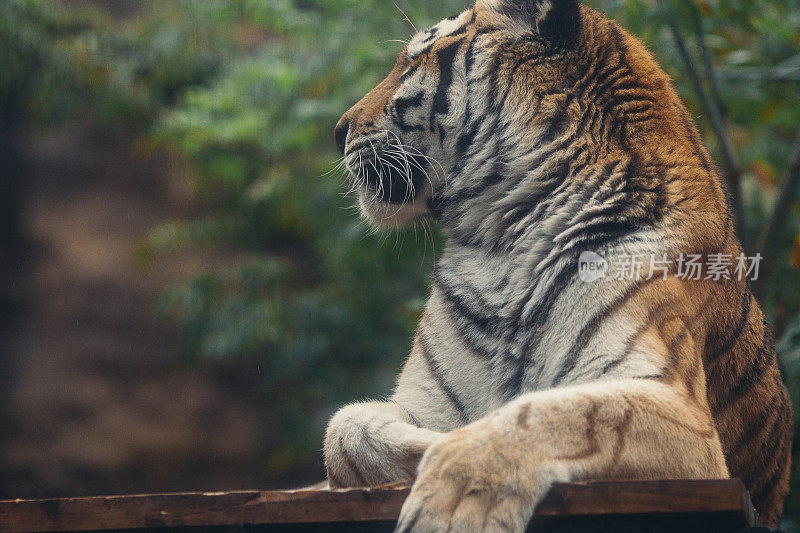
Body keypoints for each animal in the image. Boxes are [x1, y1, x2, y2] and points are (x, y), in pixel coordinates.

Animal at [322, 0, 792, 528]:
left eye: (413, 61)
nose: (337, 131)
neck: (501, 242)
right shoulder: (423, 403)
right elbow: (345, 427)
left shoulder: (682, 413)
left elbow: (555, 411)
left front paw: (455, 499)